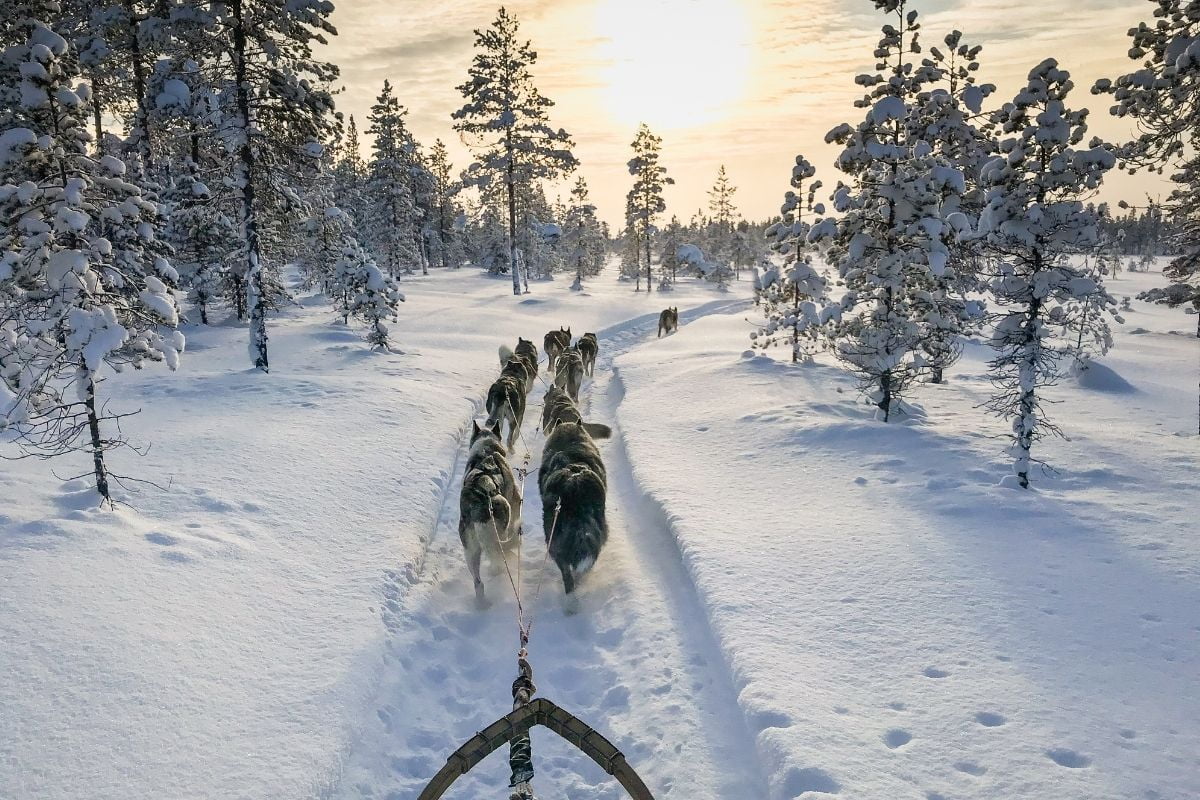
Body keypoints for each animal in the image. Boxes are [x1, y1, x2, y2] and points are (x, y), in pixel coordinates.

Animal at [456, 422, 523, 604]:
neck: (487, 450)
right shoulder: (515, 502)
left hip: (470, 551)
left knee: (478, 583)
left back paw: (481, 603)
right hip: (503, 516)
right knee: (500, 557)